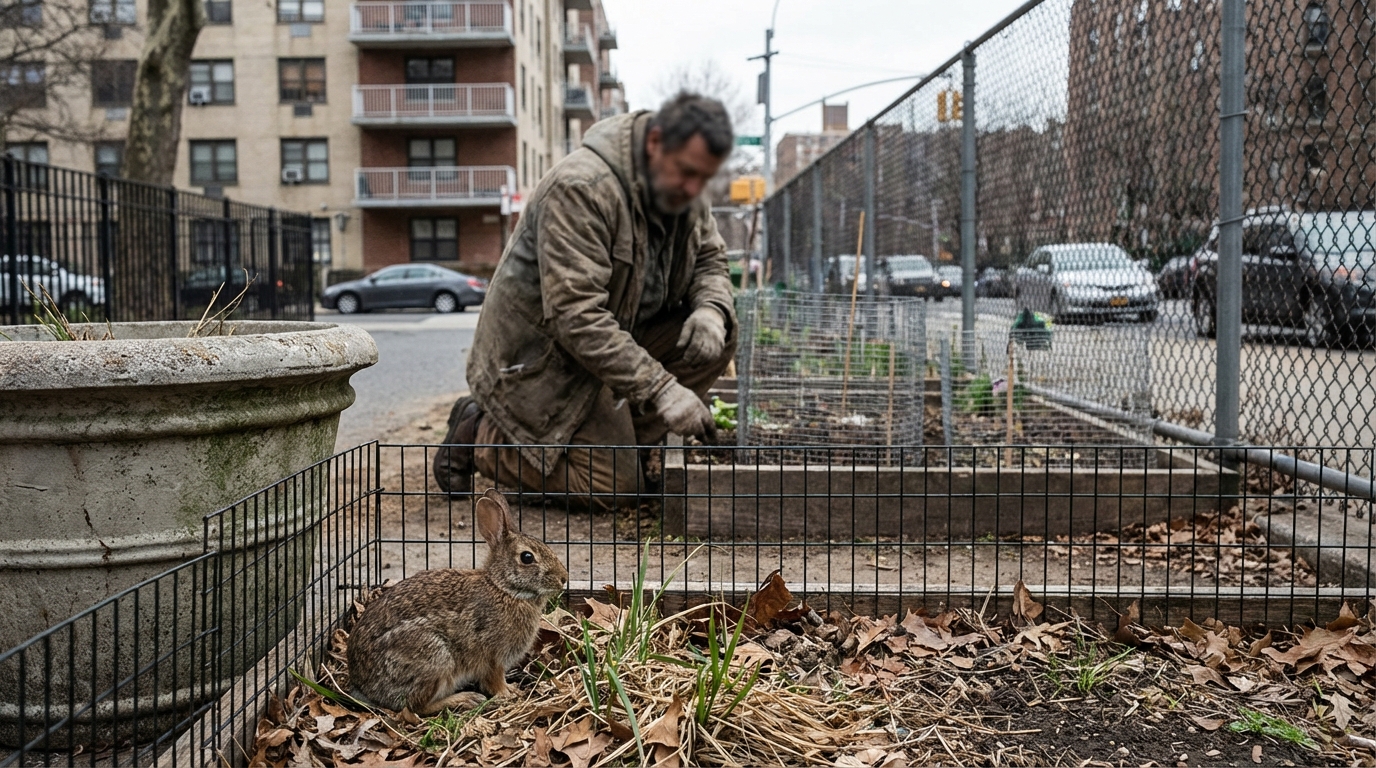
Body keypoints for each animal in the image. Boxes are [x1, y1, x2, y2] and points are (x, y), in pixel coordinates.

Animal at [346, 488, 568, 715]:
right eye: (527, 557)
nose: (564, 578)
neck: (504, 589)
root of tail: (365, 686)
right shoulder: (493, 657)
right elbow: (494, 680)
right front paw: (508, 694)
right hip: (436, 658)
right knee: (417, 706)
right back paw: (466, 699)